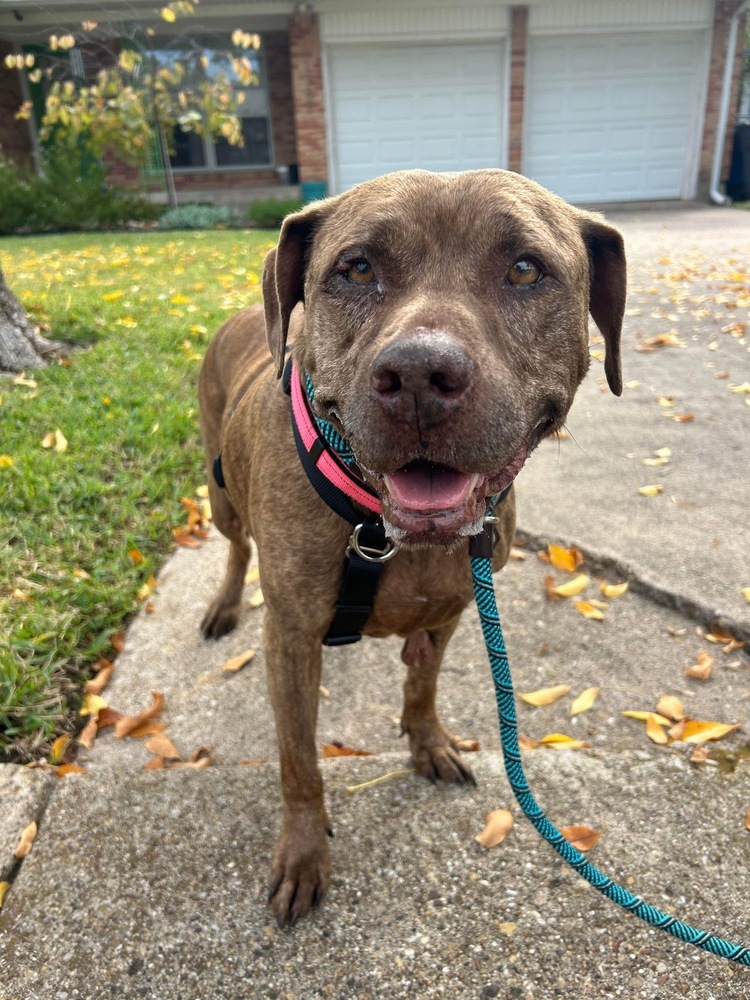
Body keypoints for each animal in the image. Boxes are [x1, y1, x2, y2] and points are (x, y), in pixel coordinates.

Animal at [197, 170, 624, 928]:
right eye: (356, 268)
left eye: (525, 269)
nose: (421, 376)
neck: (380, 528)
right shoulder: (291, 639)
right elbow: (298, 760)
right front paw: (304, 852)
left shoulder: (450, 610)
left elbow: (421, 687)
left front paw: (429, 744)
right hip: (219, 498)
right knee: (235, 547)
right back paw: (223, 604)